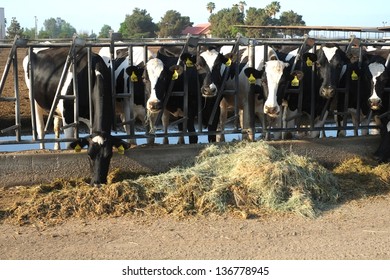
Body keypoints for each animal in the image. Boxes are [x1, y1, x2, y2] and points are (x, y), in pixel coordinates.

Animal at [22, 46, 129, 185]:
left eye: (109, 155)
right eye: (89, 155)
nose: (97, 182)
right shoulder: (68, 116)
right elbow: (69, 144)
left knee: (56, 126)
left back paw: (56, 147)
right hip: (34, 100)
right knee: (40, 129)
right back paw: (42, 148)